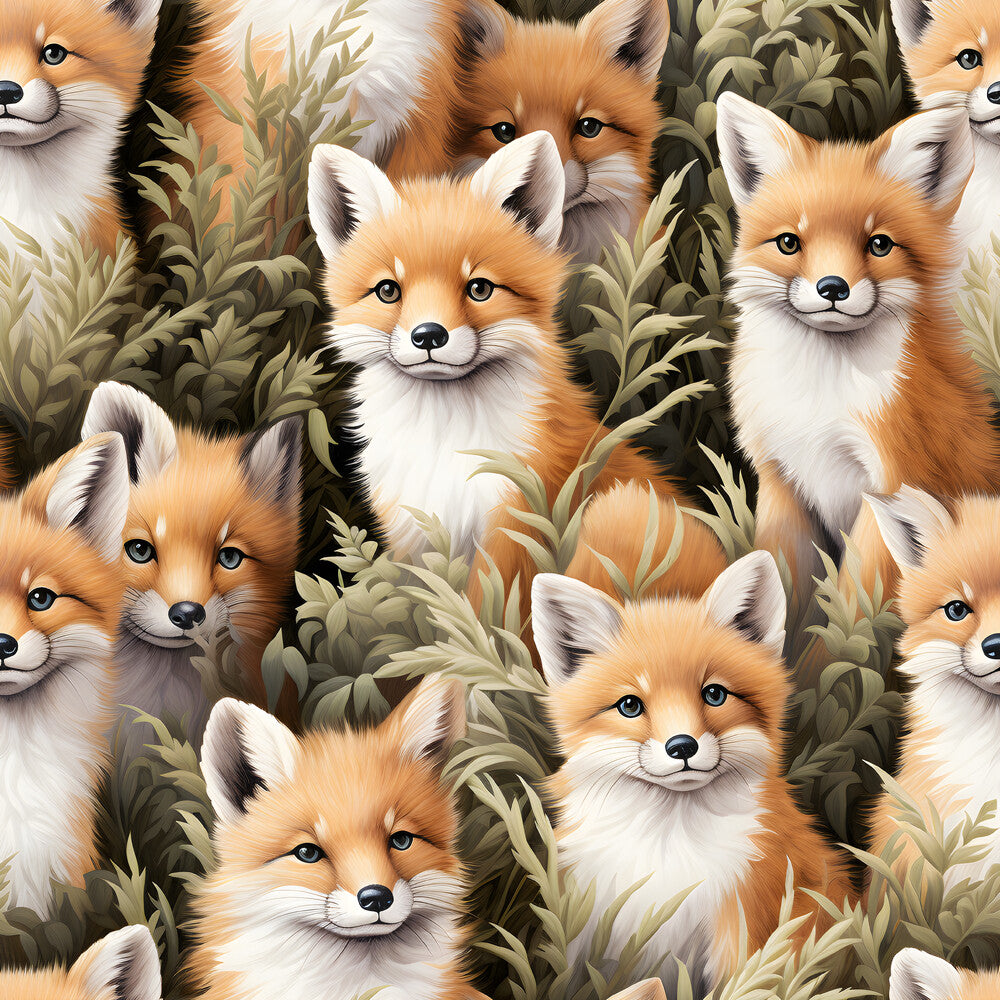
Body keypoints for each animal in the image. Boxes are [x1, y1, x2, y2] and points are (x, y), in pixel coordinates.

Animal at [308, 130, 726, 627]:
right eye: (388, 291)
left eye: (479, 288)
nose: (428, 335)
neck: (445, 444)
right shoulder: (413, 532)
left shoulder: (513, 524)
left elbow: (482, 622)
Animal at [532, 551, 852, 997]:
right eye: (629, 705)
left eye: (714, 694)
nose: (682, 746)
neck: (668, 853)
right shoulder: (588, 923)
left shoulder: (742, 924)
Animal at [716, 93, 1000, 606]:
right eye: (789, 242)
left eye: (879, 244)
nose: (833, 287)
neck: (817, 401)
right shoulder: (782, 482)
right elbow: (786, 583)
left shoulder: (889, 481)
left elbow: (853, 598)